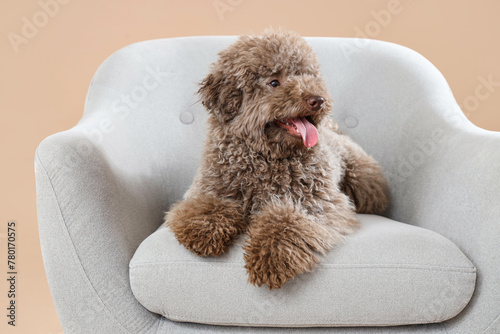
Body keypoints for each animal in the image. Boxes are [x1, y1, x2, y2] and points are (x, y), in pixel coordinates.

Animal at [166, 29, 388, 290]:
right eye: (274, 82)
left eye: (308, 76)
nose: (318, 100)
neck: (266, 156)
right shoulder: (211, 188)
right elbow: (208, 207)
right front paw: (205, 230)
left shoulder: (316, 202)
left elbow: (285, 221)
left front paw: (271, 257)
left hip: (362, 180)